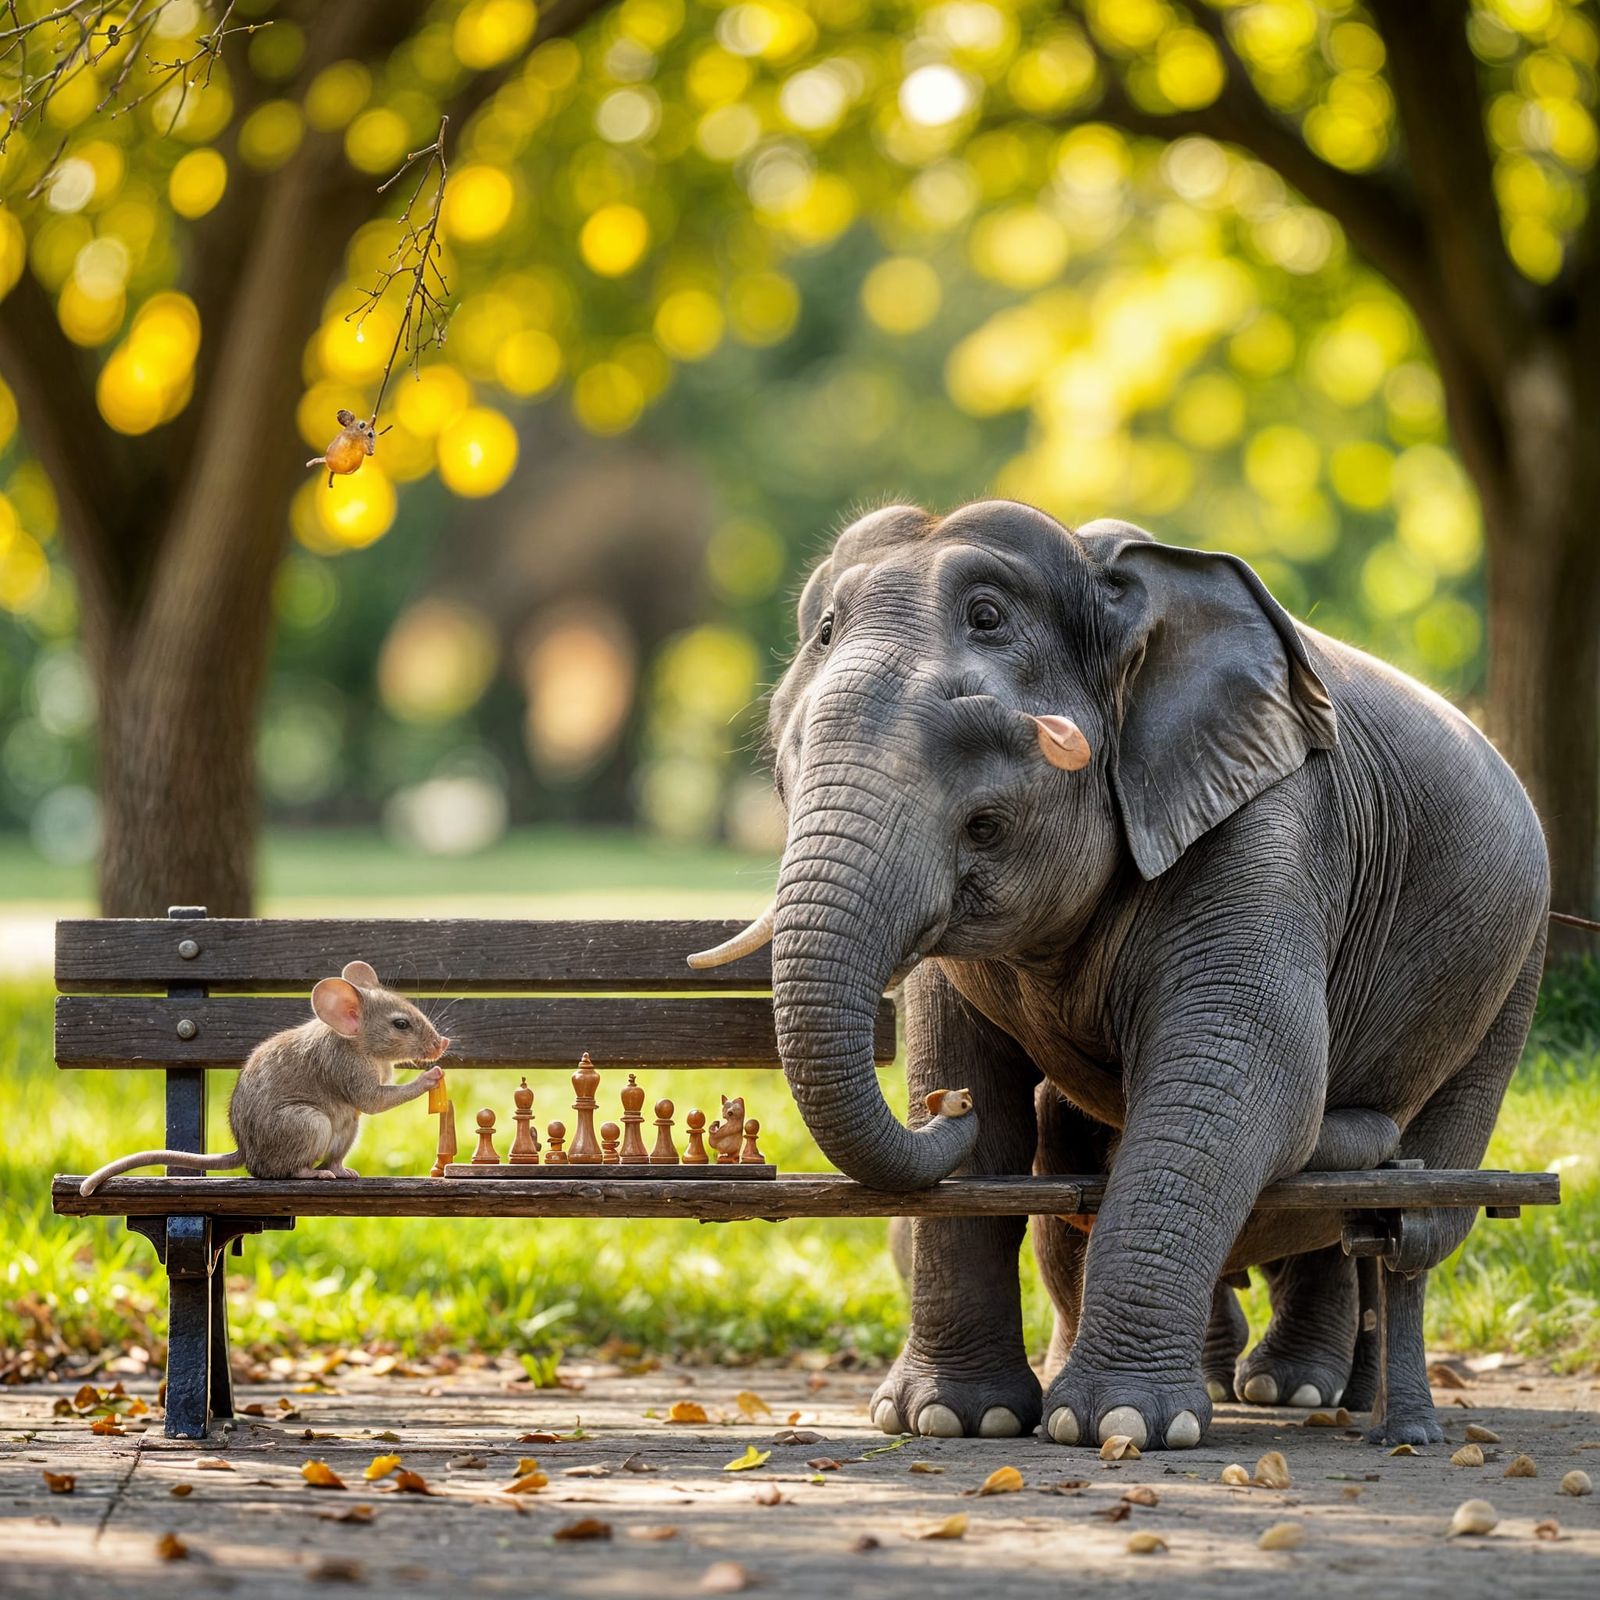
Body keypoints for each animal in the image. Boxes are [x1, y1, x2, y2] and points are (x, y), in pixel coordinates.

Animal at [691, 500, 1548, 1451]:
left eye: (985, 824)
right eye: (824, 630)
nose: (941, 1115)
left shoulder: (1270, 827)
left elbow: (1243, 1081)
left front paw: (1119, 1424)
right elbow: (975, 1085)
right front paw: (953, 1419)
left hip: (1512, 978)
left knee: (1412, 1215)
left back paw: (1307, 1396)